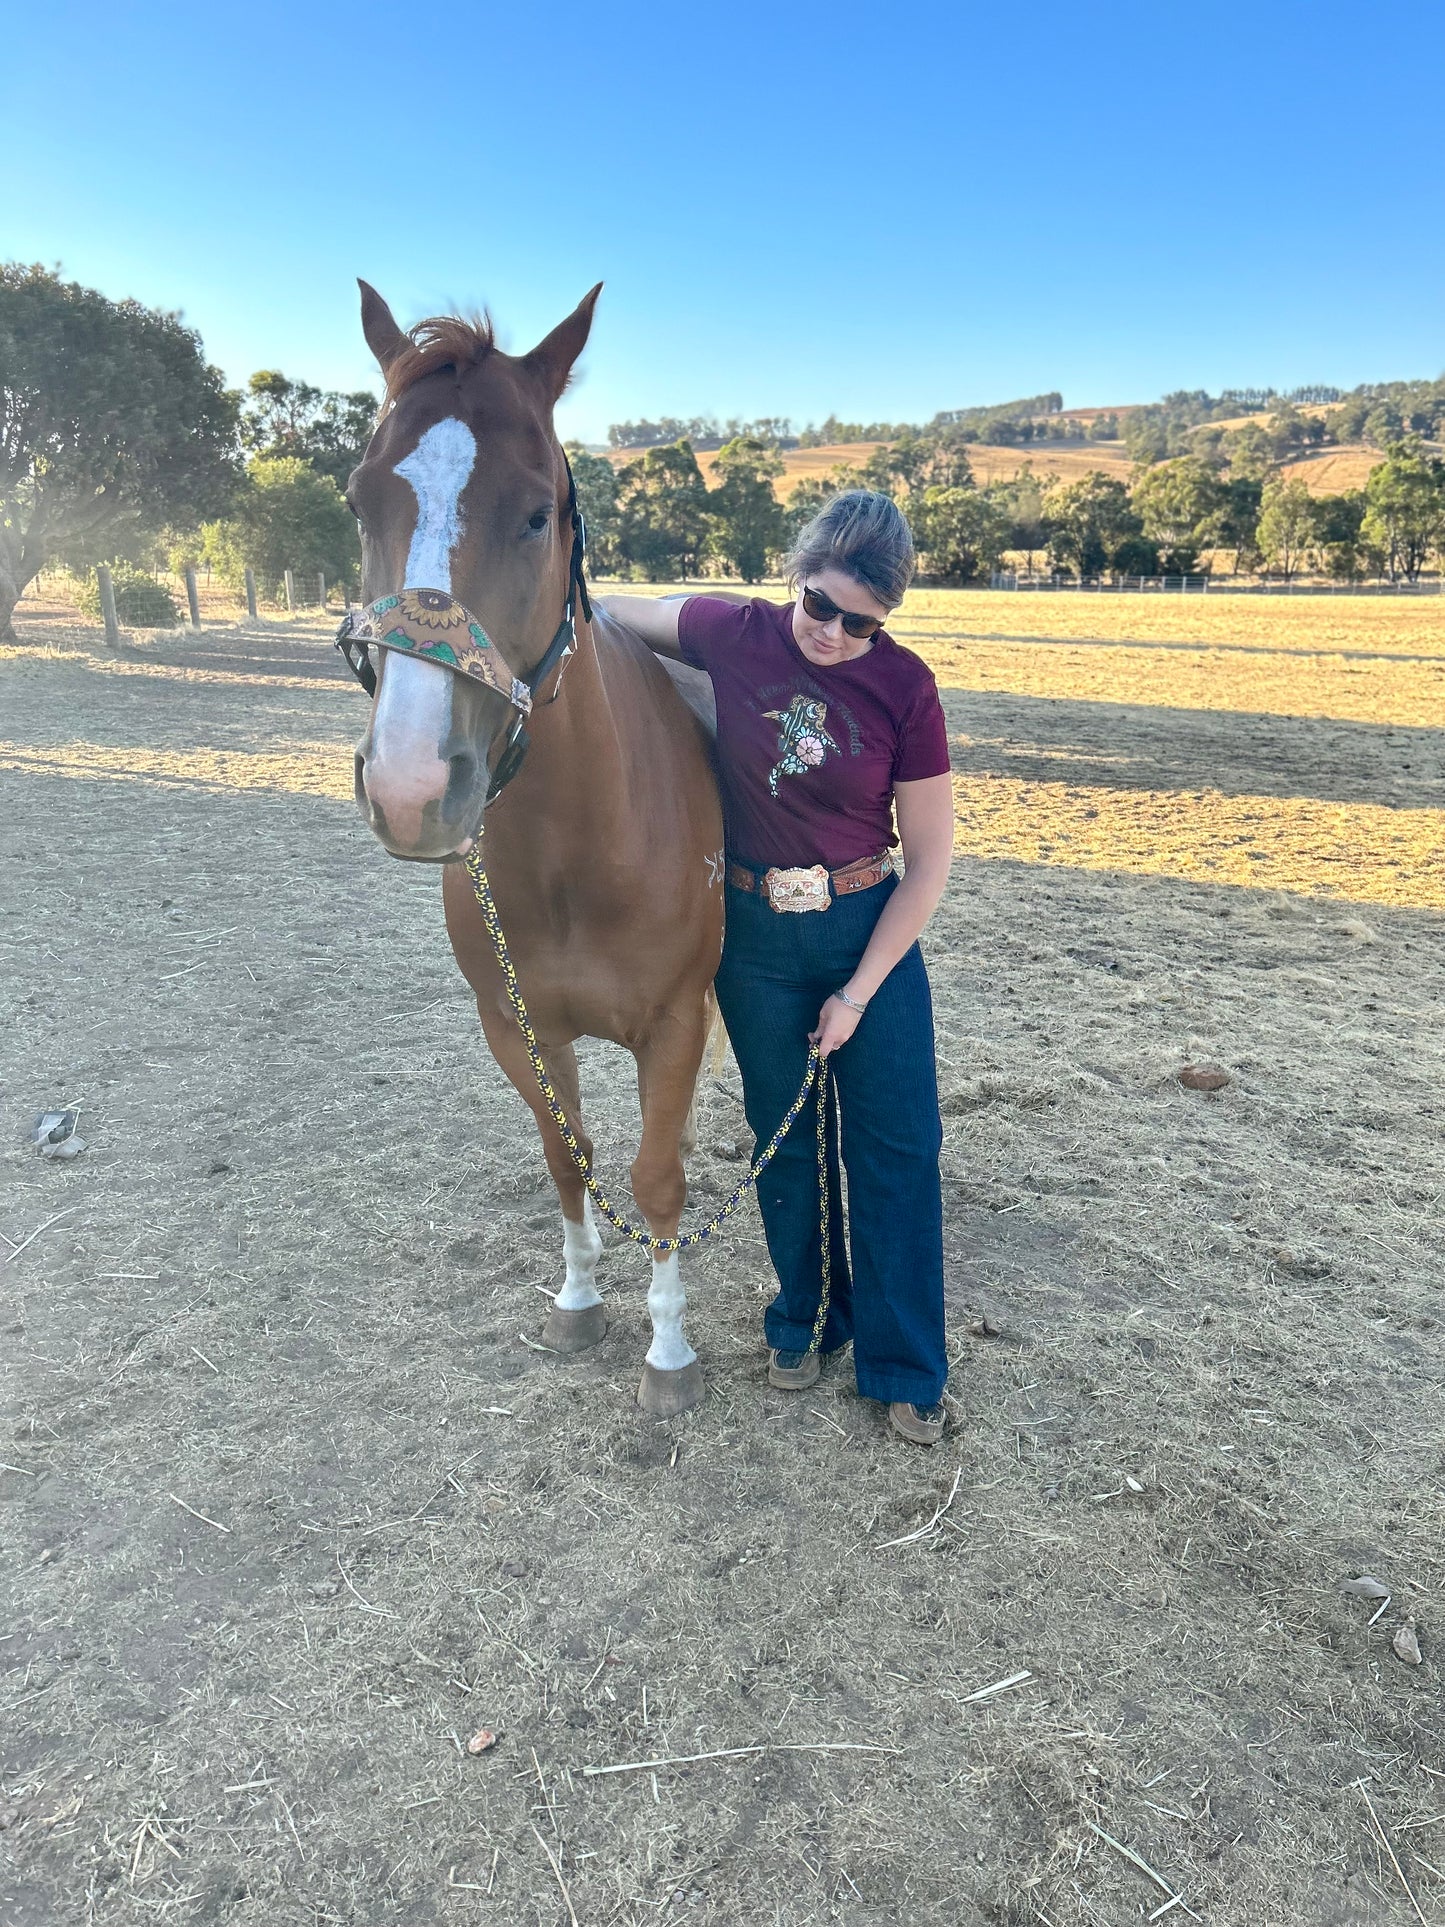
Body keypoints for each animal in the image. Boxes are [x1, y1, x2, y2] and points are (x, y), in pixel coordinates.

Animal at [344, 279, 720, 1418]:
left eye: (537, 510)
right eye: (358, 500)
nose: (412, 786)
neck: (575, 856)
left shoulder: (673, 1024)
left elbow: (654, 1175)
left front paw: (668, 1352)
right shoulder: (514, 1026)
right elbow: (569, 1154)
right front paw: (579, 1298)